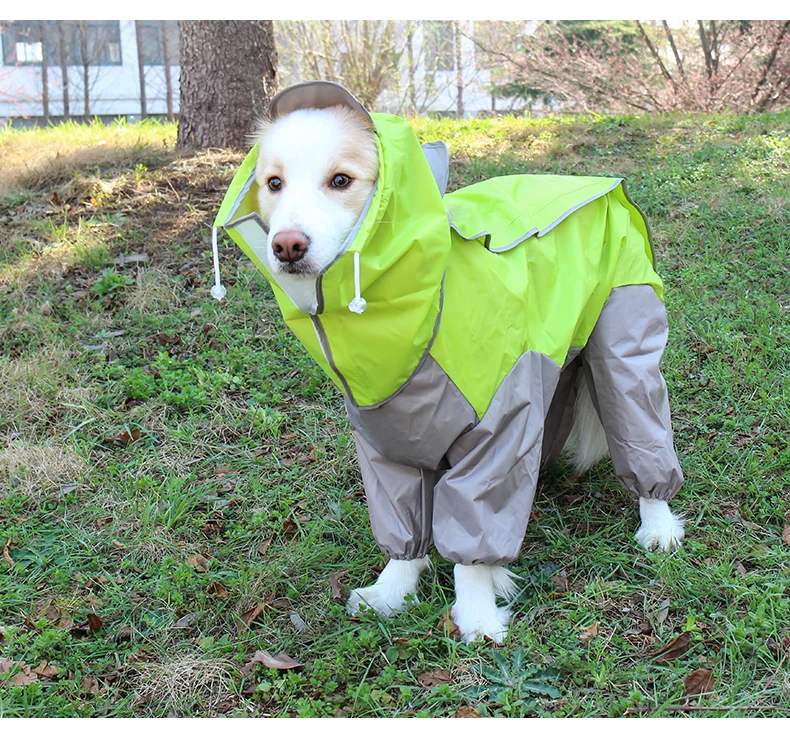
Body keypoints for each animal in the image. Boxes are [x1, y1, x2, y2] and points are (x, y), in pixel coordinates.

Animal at [232, 84, 684, 644]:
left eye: (341, 180)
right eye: (274, 183)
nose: (286, 246)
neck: (423, 310)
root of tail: (598, 182)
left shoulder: (498, 426)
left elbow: (474, 528)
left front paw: (476, 614)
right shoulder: (387, 439)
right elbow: (405, 526)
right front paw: (392, 591)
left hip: (624, 336)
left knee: (640, 423)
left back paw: (658, 524)